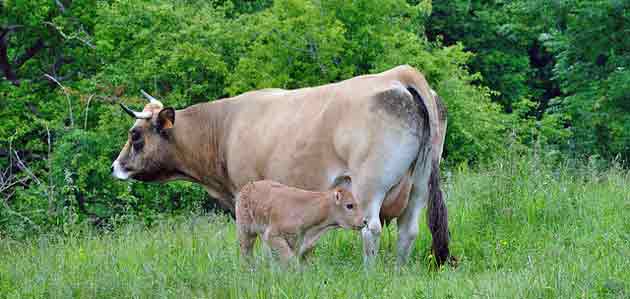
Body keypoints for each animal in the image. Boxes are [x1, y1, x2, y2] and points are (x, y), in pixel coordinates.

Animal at [236, 180, 366, 262]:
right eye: (349, 205)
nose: (364, 221)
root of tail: (248, 186)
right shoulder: (273, 236)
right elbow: (290, 259)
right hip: (246, 232)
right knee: (246, 252)